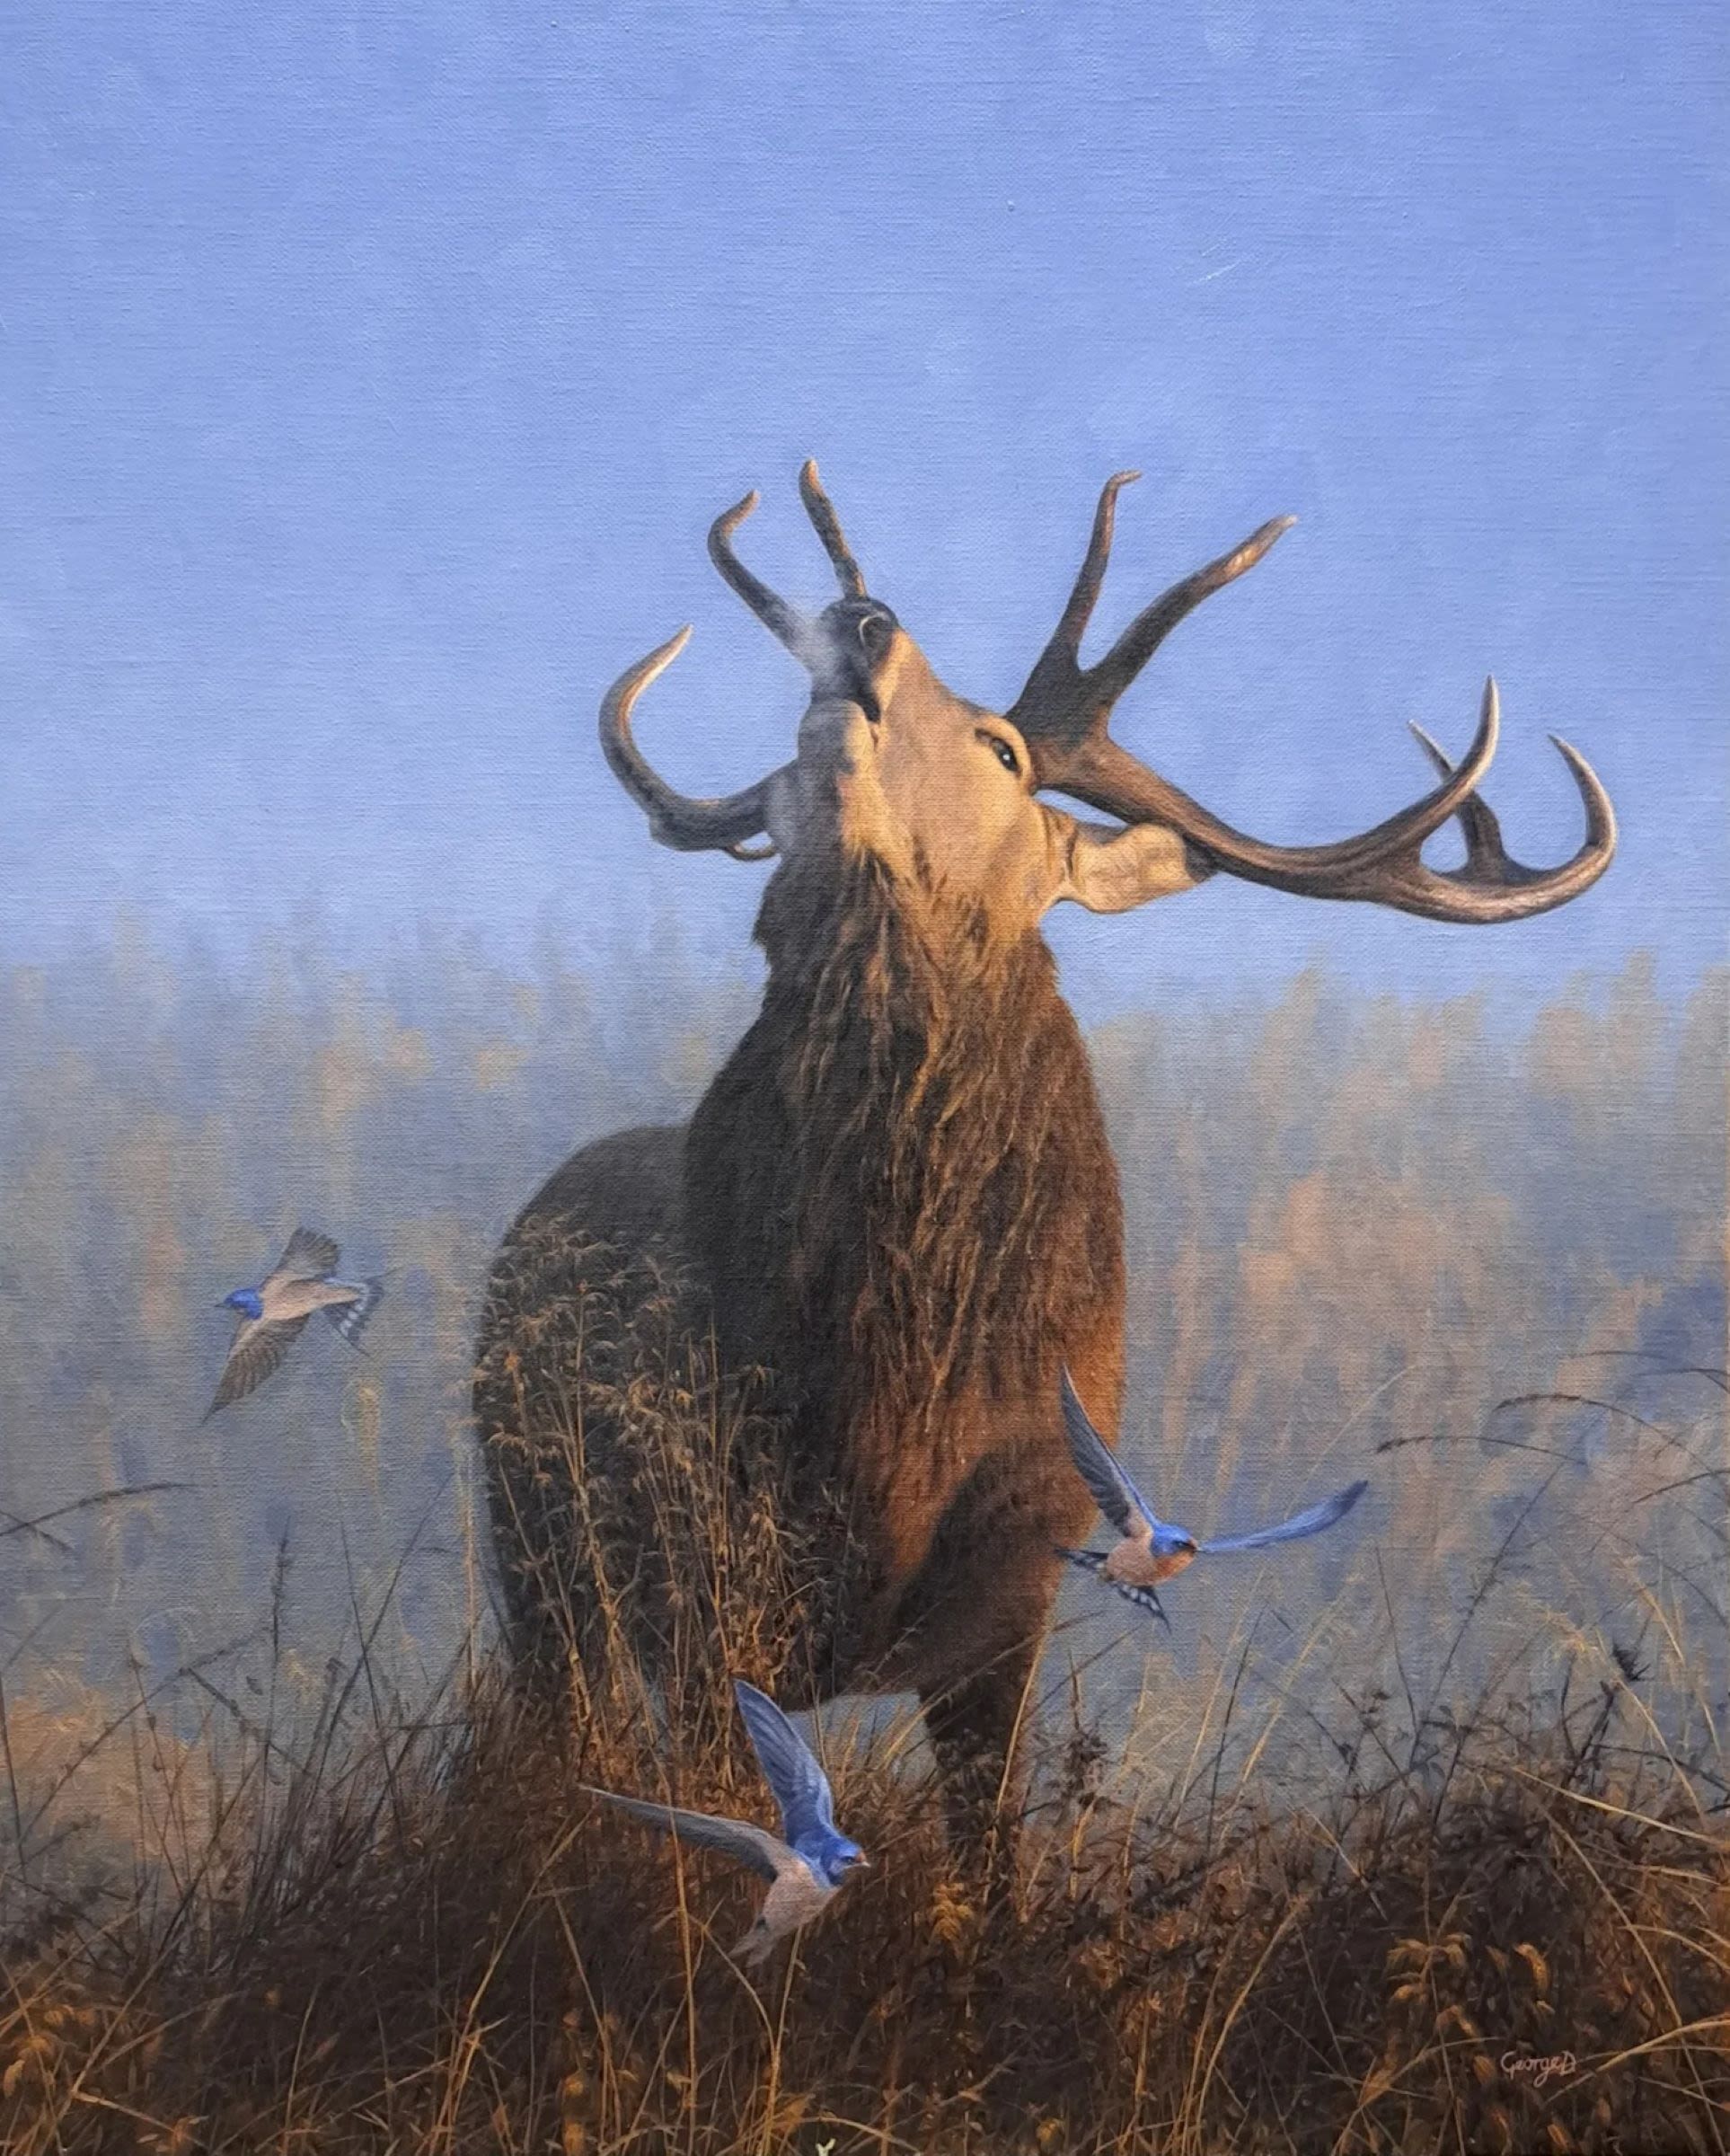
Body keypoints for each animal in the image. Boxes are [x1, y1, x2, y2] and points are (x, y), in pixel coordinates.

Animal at [472, 463, 1613, 1851]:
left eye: (1003, 750)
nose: (861, 621)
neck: (888, 1392)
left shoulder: (1018, 1577)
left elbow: (990, 1866)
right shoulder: (706, 1561)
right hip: (535, 1546)